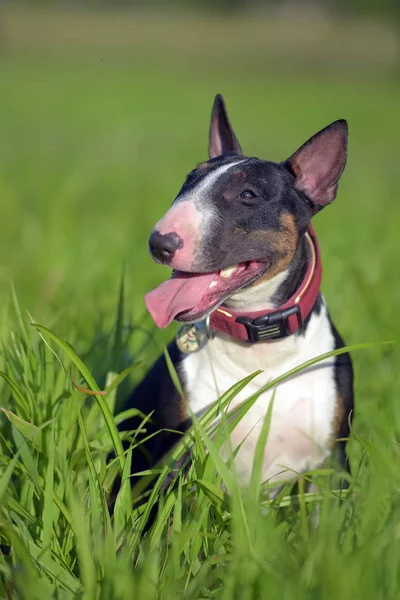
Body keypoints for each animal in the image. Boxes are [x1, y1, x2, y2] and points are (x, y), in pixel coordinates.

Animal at [119, 94, 354, 494]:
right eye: (188, 181)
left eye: (248, 194)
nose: (159, 243)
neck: (260, 350)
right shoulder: (174, 455)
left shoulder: (332, 465)